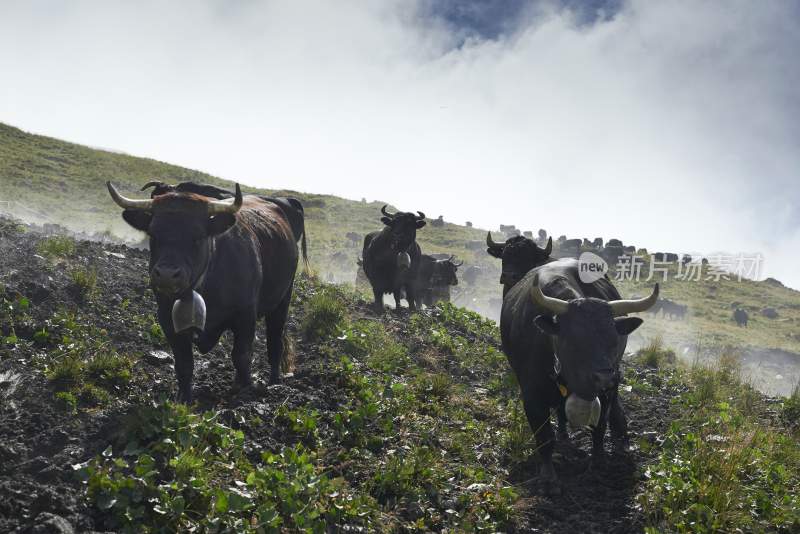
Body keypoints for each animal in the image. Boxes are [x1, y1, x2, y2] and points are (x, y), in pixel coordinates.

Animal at [106, 182, 306, 404]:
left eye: (198, 236)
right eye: (153, 234)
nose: (166, 275)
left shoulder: (245, 315)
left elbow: (242, 356)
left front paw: (246, 391)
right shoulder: (167, 318)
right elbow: (184, 363)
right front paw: (184, 398)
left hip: (282, 300)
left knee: (274, 342)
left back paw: (274, 381)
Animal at [504, 260, 660, 494]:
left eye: (614, 339)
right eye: (574, 340)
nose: (605, 378)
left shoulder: (607, 393)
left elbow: (599, 429)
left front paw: (597, 464)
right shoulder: (532, 396)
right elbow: (544, 438)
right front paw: (548, 477)